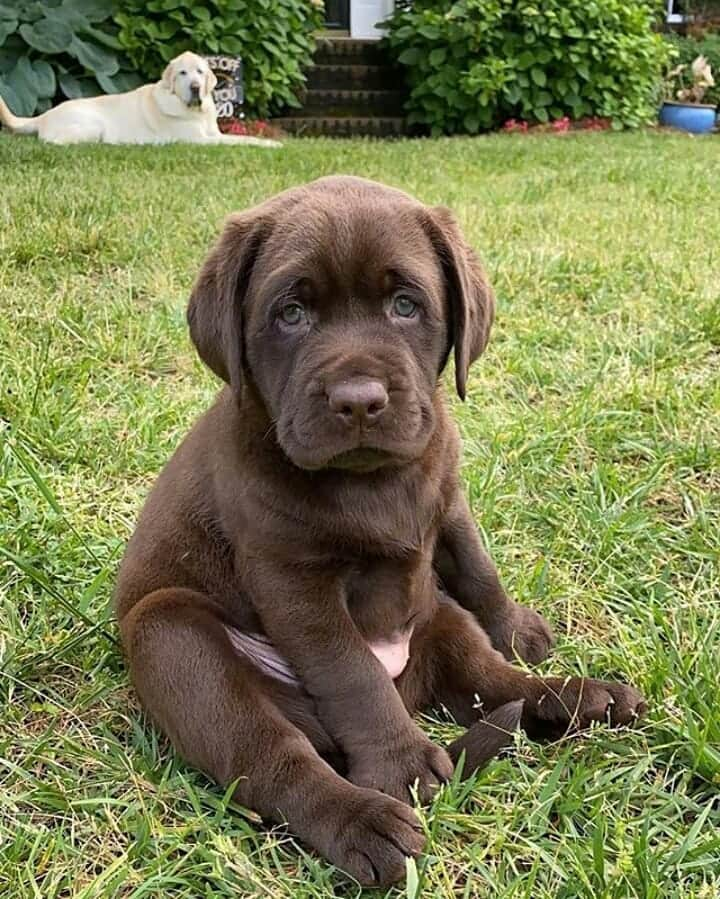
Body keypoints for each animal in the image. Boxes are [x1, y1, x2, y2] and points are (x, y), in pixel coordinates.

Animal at [0, 51, 280, 146]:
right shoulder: (199, 141)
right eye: (183, 73)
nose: (195, 87)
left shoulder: (214, 134)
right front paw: (270, 145)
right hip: (94, 125)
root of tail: (45, 115)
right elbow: (240, 142)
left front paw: (271, 143)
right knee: (55, 142)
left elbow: (244, 138)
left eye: (200, 71)